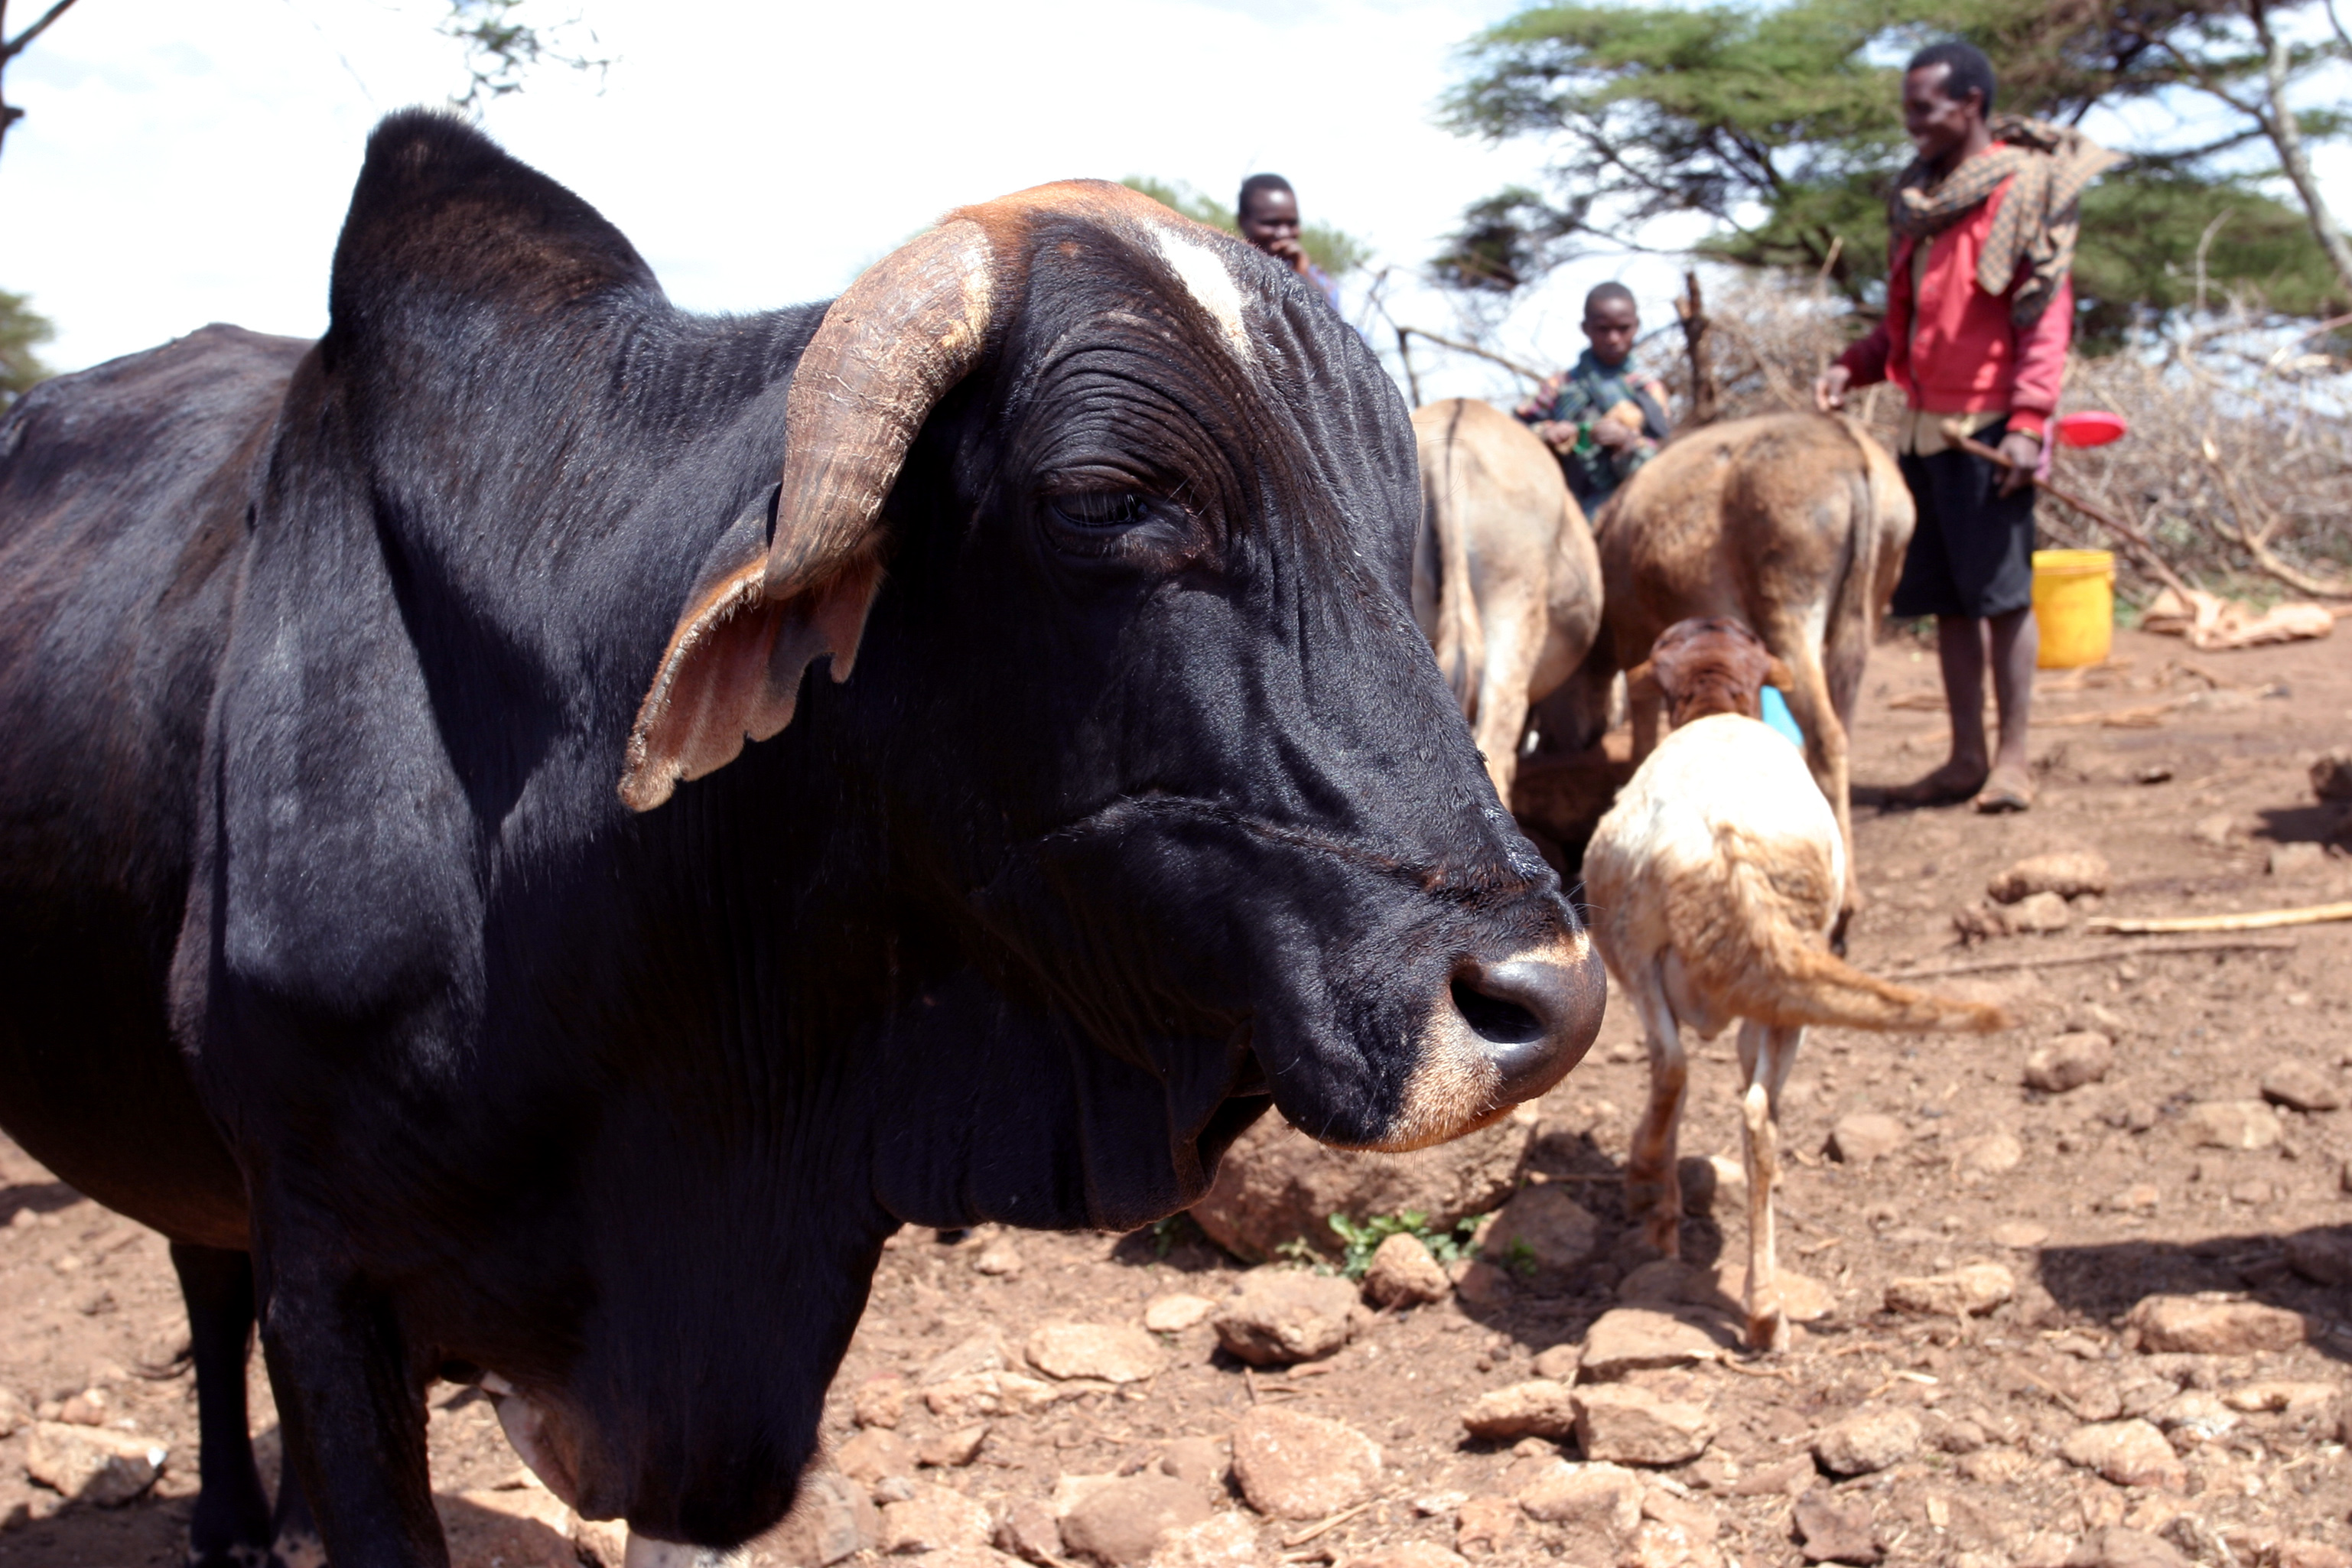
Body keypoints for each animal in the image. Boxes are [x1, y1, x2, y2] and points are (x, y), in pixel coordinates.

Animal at [1535, 413, 1914, 934]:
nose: (1557, 745)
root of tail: (1845, 440)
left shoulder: (1637, 642)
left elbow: (1643, 732)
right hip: (1865, 613)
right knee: (1841, 734)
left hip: (1786, 612)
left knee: (1826, 736)